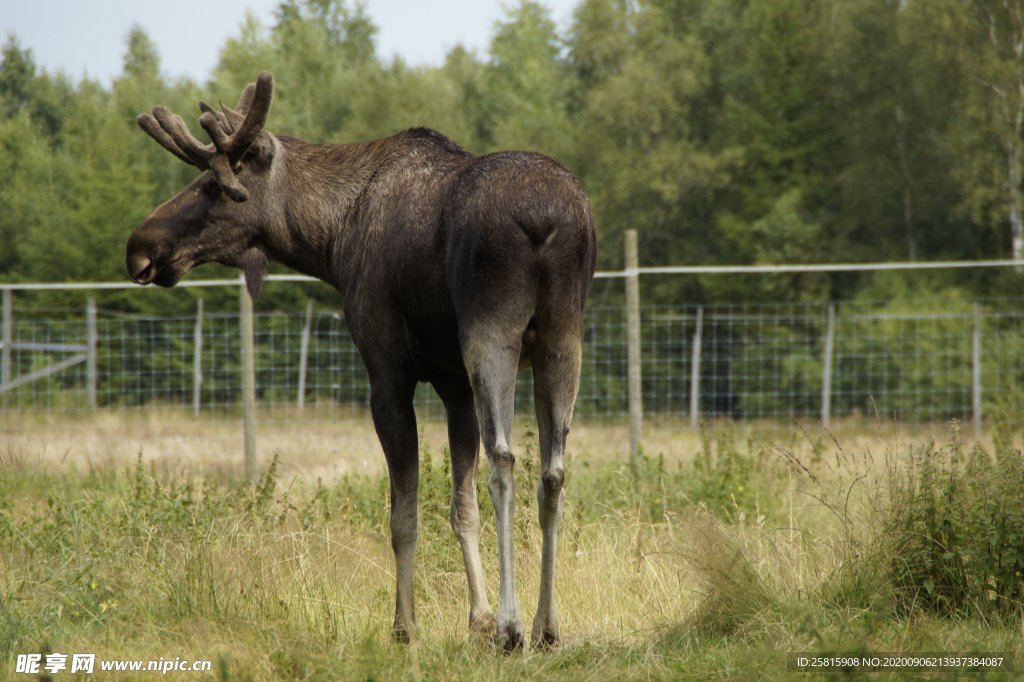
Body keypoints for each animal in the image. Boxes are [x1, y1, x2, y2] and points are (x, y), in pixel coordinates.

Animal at [123, 73, 598, 647]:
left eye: (213, 186)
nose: (140, 247)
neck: (331, 238)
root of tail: (544, 220)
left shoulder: (387, 370)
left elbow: (403, 514)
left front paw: (407, 625)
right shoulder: (452, 382)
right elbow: (461, 507)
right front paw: (476, 619)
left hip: (492, 331)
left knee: (505, 459)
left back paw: (514, 626)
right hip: (564, 336)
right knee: (553, 470)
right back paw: (547, 625)